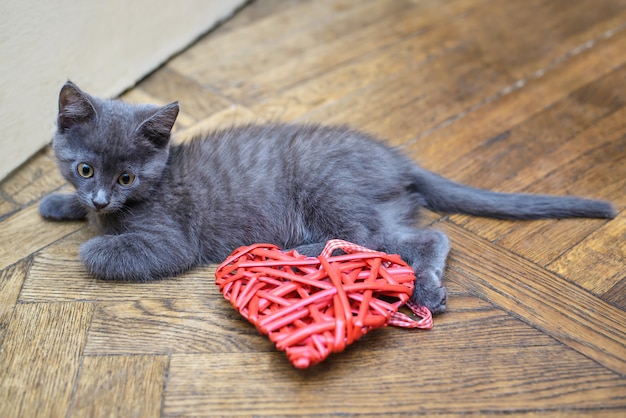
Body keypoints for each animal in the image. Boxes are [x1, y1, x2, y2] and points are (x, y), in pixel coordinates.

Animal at [40, 81, 616, 312]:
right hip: (372, 203)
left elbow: (102, 252)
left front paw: (94, 238)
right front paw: (60, 203)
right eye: (85, 169)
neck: (157, 181)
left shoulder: (169, 240)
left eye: (127, 179)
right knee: (420, 237)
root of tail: (395, 160)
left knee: (374, 237)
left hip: (326, 185)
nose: (99, 201)